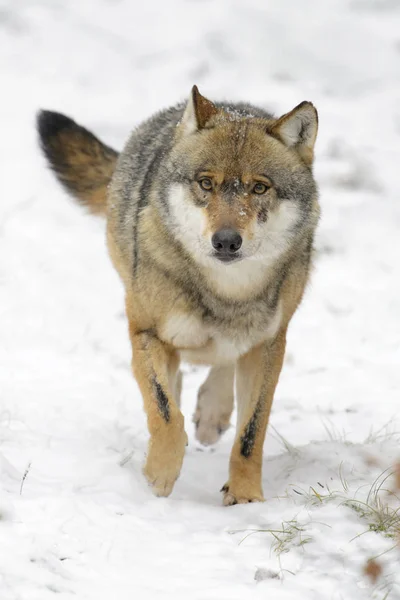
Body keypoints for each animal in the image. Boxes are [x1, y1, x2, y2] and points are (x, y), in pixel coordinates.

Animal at [37, 85, 318, 506]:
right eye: (206, 183)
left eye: (259, 187)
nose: (226, 241)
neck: (225, 293)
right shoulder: (147, 332)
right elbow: (165, 413)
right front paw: (160, 474)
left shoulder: (270, 344)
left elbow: (250, 433)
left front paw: (246, 497)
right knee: (176, 383)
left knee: (221, 365)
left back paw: (212, 415)